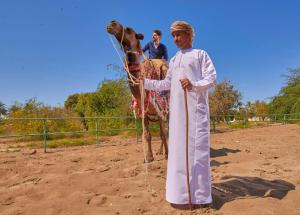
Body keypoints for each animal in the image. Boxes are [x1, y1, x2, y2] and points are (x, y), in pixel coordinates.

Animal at [106, 20, 169, 162]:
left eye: (129, 29)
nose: (112, 23)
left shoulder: (160, 109)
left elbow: (163, 133)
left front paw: (168, 155)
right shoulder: (144, 110)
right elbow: (147, 134)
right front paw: (149, 157)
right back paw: (159, 151)